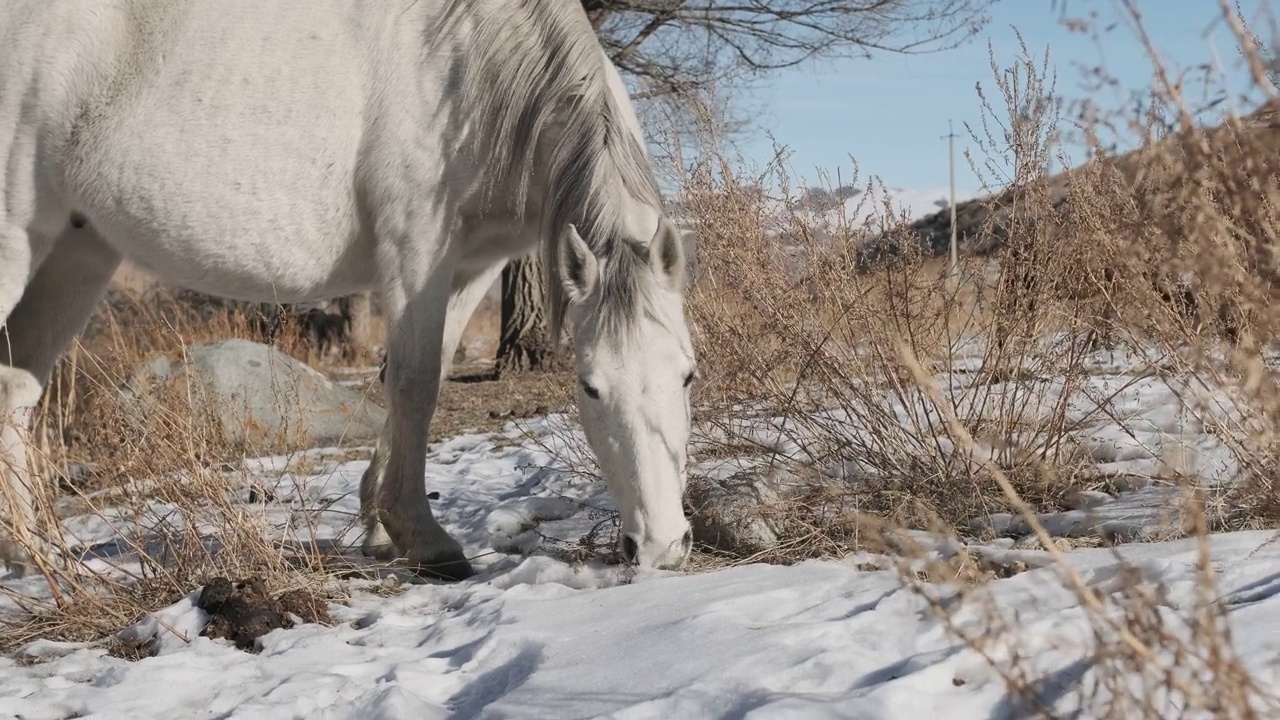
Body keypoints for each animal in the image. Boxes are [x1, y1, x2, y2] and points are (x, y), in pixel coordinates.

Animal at [0, 0, 701, 576]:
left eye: (688, 375)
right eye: (590, 386)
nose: (660, 546)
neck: (469, 70)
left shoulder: (472, 266)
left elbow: (423, 372)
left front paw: (379, 529)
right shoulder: (416, 255)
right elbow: (416, 385)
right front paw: (424, 538)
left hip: (78, 255)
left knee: (18, 386)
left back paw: (38, 552)